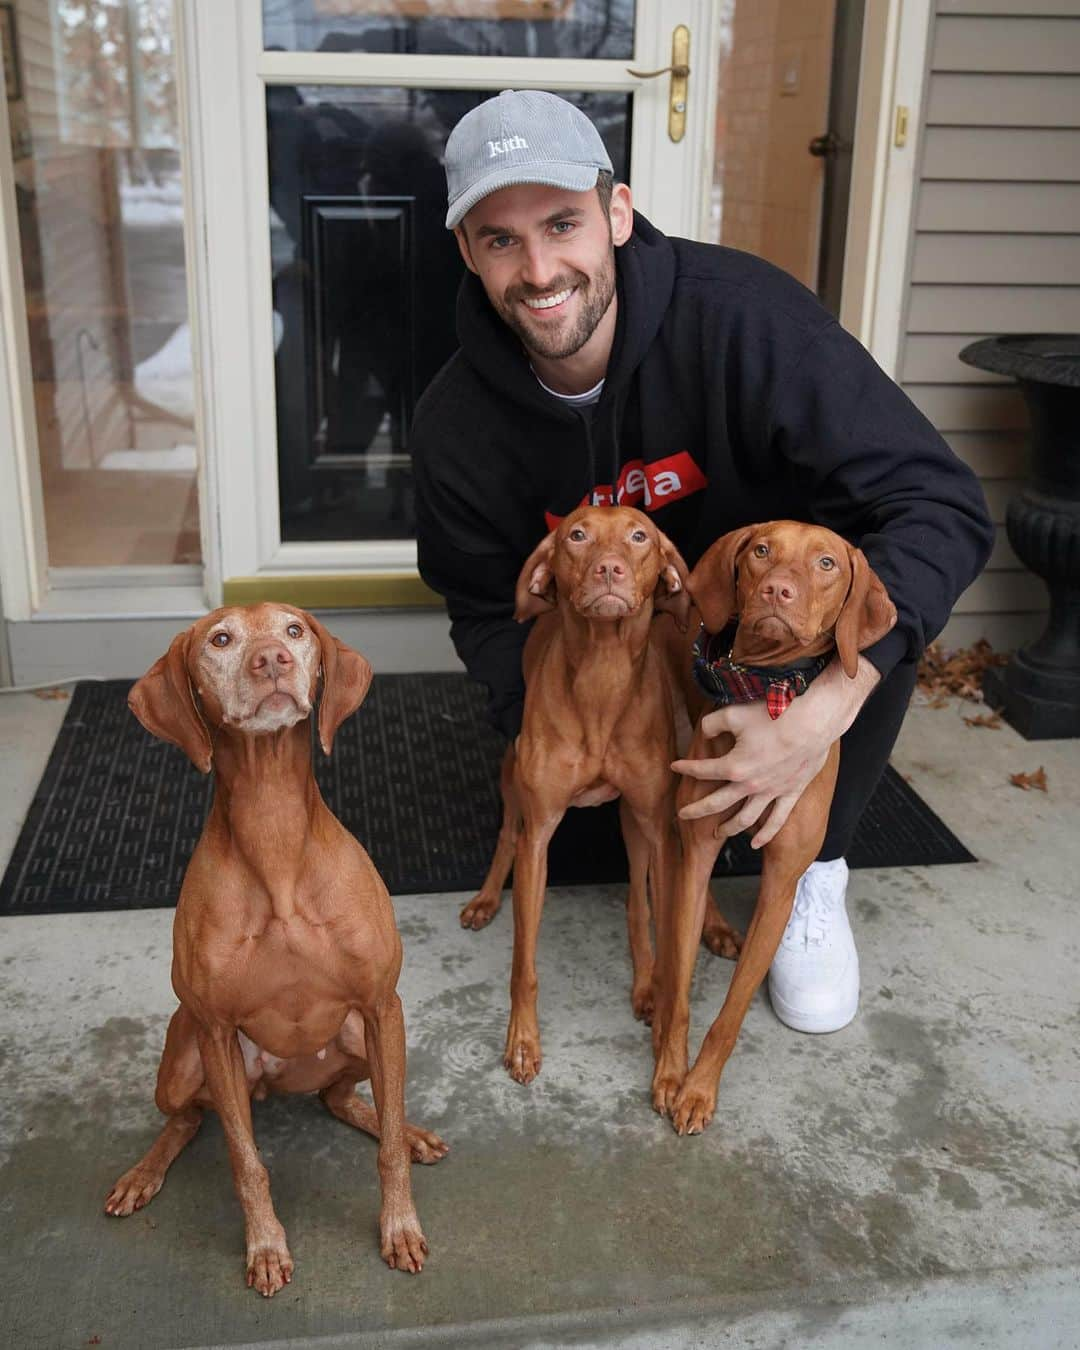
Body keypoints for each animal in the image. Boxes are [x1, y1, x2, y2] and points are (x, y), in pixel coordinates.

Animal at [104, 607, 448, 1290]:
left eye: (294, 630)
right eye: (220, 639)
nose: (271, 661)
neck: (274, 825)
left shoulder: (381, 1006)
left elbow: (389, 1150)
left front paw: (400, 1226)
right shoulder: (214, 1029)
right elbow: (245, 1161)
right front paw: (265, 1245)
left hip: (363, 1035)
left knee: (348, 1101)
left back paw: (411, 1131)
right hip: (185, 1062)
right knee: (187, 1118)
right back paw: (142, 1174)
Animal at [464, 507, 745, 1085]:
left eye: (639, 537)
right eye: (577, 535)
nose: (609, 569)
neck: (602, 674)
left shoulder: (658, 827)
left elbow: (667, 934)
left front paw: (664, 1039)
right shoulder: (540, 834)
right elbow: (523, 962)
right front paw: (522, 1040)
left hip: (653, 810)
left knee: (644, 895)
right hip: (515, 773)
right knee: (508, 833)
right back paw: (485, 898)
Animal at [650, 521, 896, 1134]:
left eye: (827, 563)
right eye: (762, 551)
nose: (778, 591)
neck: (762, 691)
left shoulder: (782, 883)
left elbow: (732, 1010)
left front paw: (699, 1089)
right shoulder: (698, 840)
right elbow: (678, 989)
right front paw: (670, 1073)